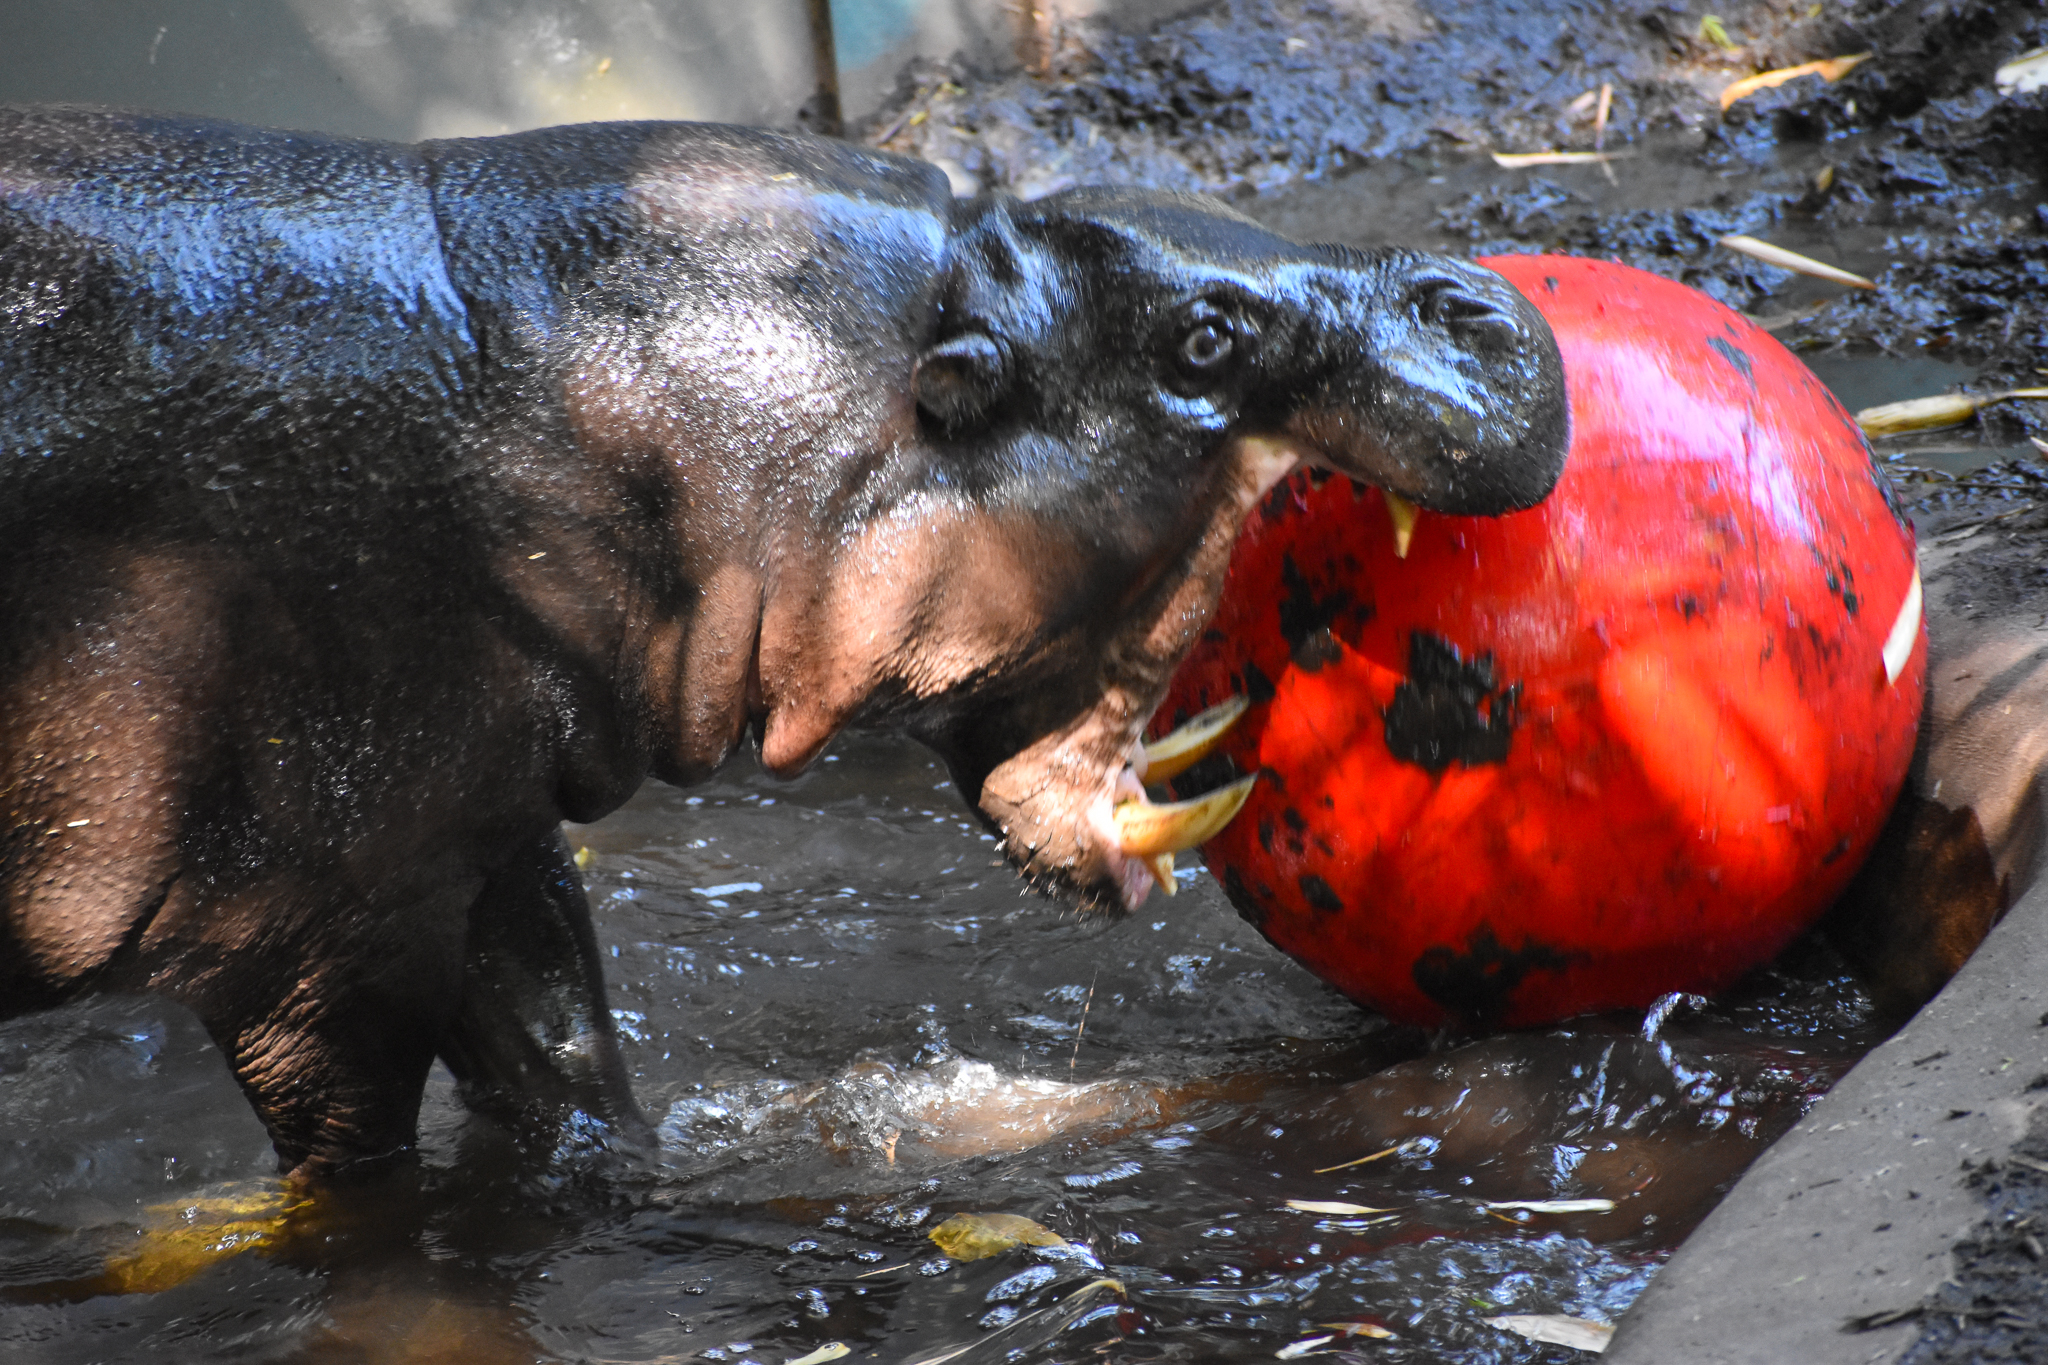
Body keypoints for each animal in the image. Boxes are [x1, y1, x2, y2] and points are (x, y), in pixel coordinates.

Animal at [0, 104, 1568, 1177]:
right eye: (1203, 337)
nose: (1479, 300)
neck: (563, 397)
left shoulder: (474, 838)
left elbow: (559, 1052)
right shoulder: (316, 945)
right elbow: (367, 1162)